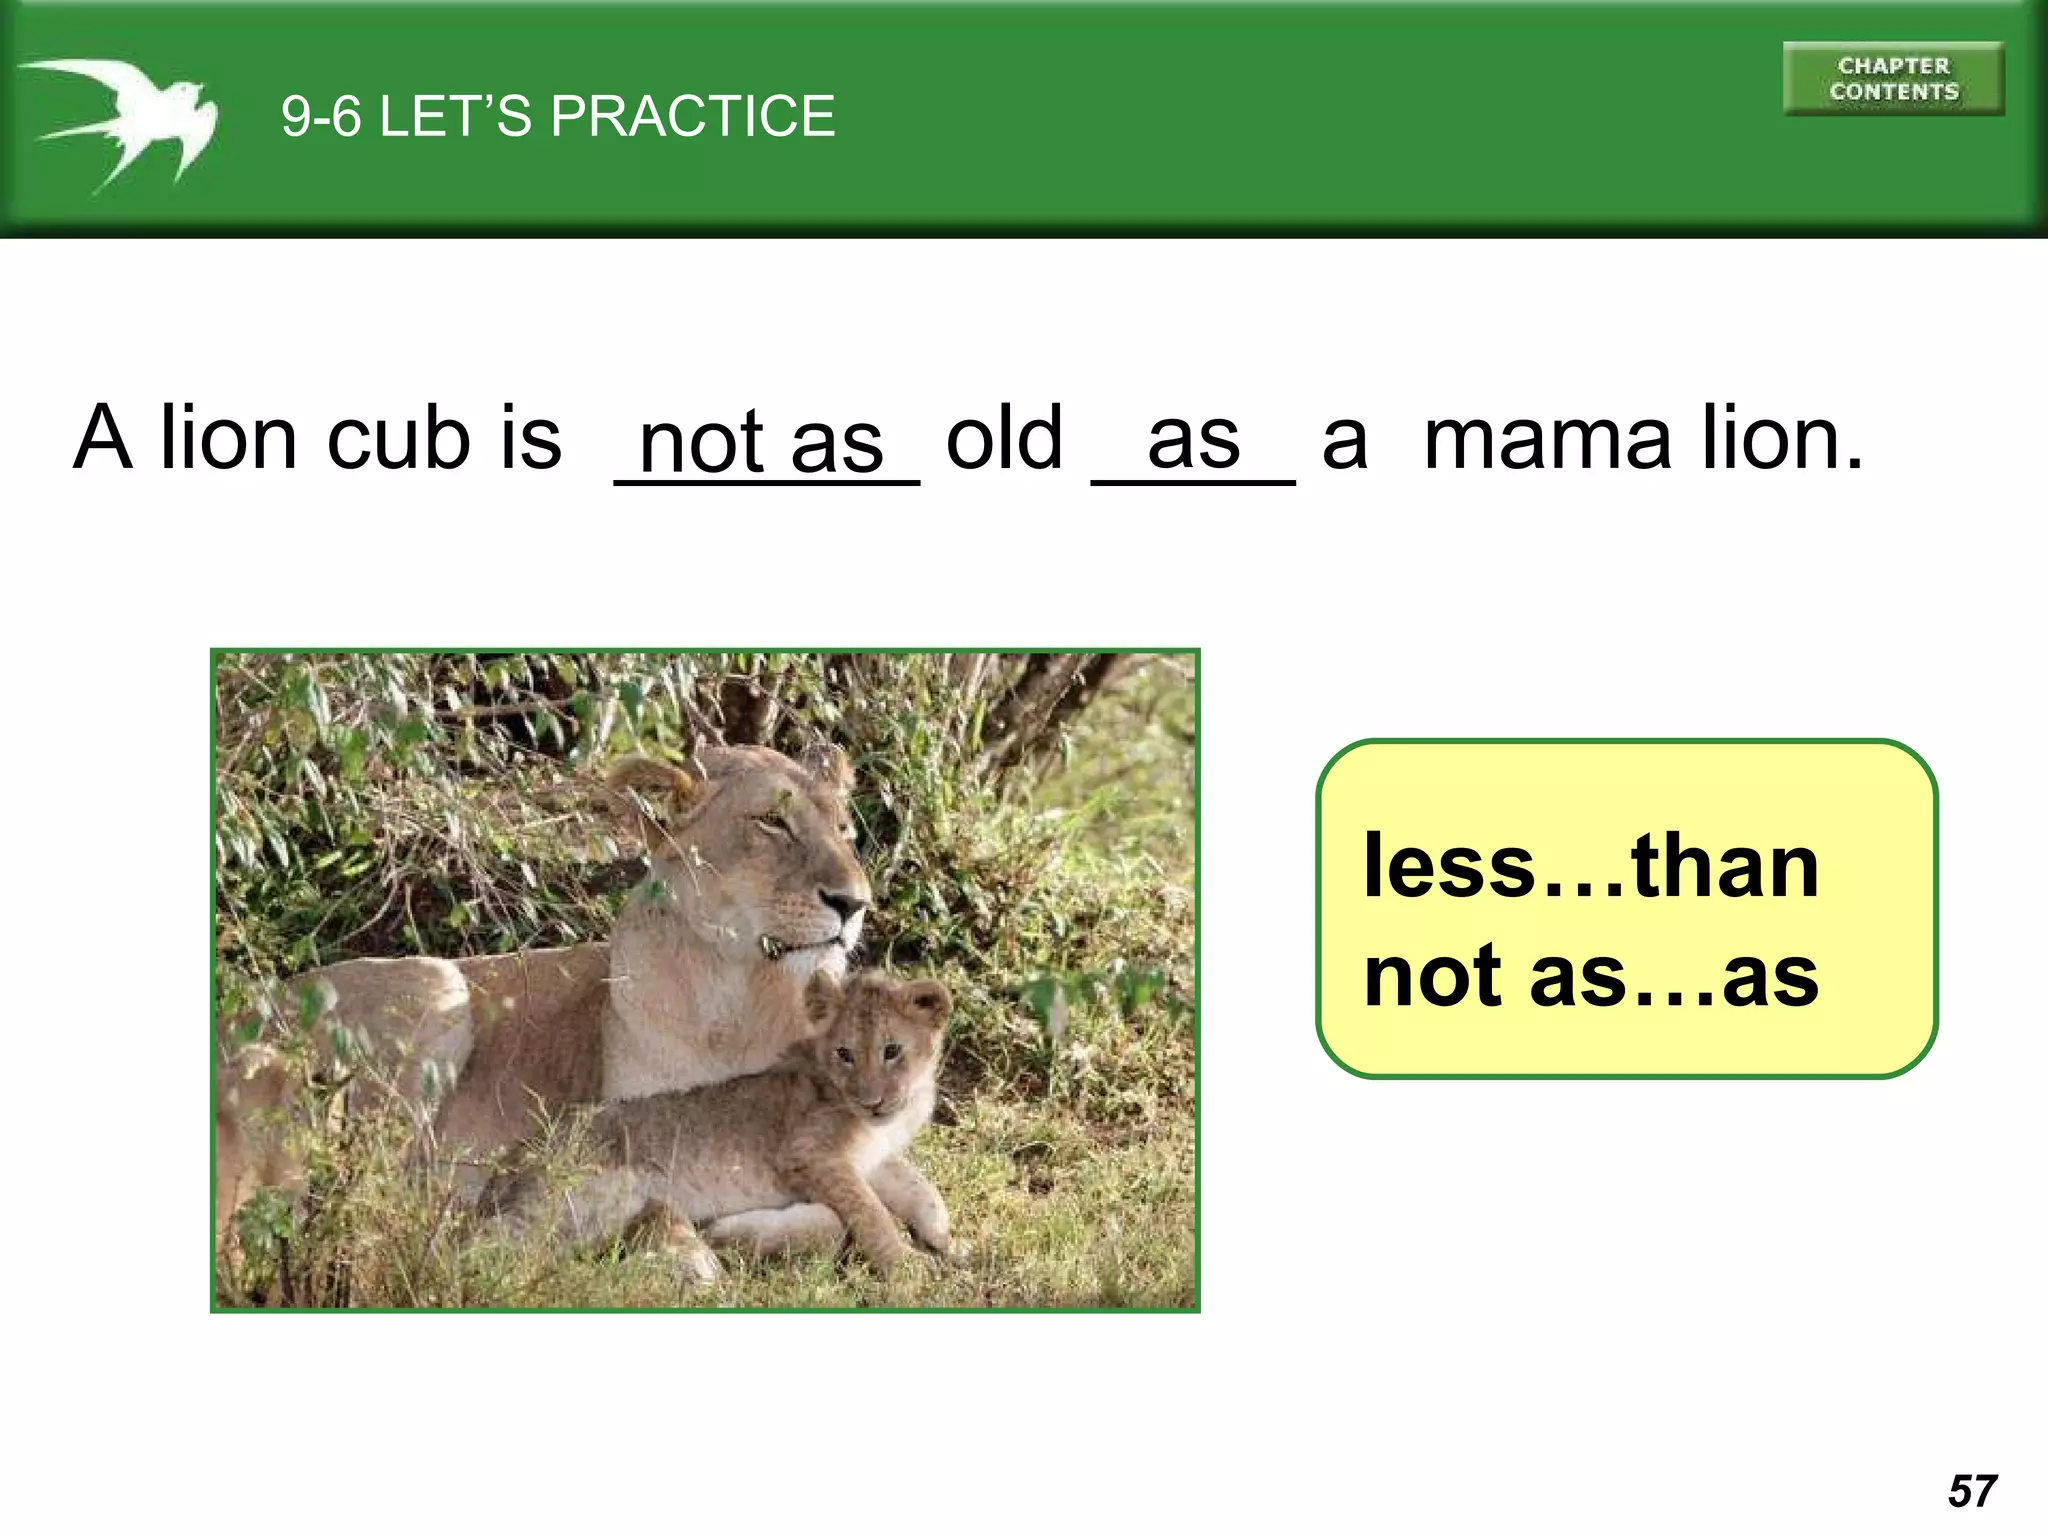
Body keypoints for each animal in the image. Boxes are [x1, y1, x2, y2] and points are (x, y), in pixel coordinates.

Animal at [213, 741, 871, 1244]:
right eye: (772, 822)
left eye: (844, 830)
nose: (854, 903)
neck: (742, 995)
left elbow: (834, 1217)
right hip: (436, 984)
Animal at [487, 969, 955, 1282]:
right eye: (845, 1054)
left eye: (892, 1050)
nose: (871, 1102)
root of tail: (502, 1173)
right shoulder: (809, 1153)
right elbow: (870, 1212)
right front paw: (909, 1267)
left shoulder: (874, 1157)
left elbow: (921, 1188)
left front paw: (949, 1241)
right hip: (597, 1192)